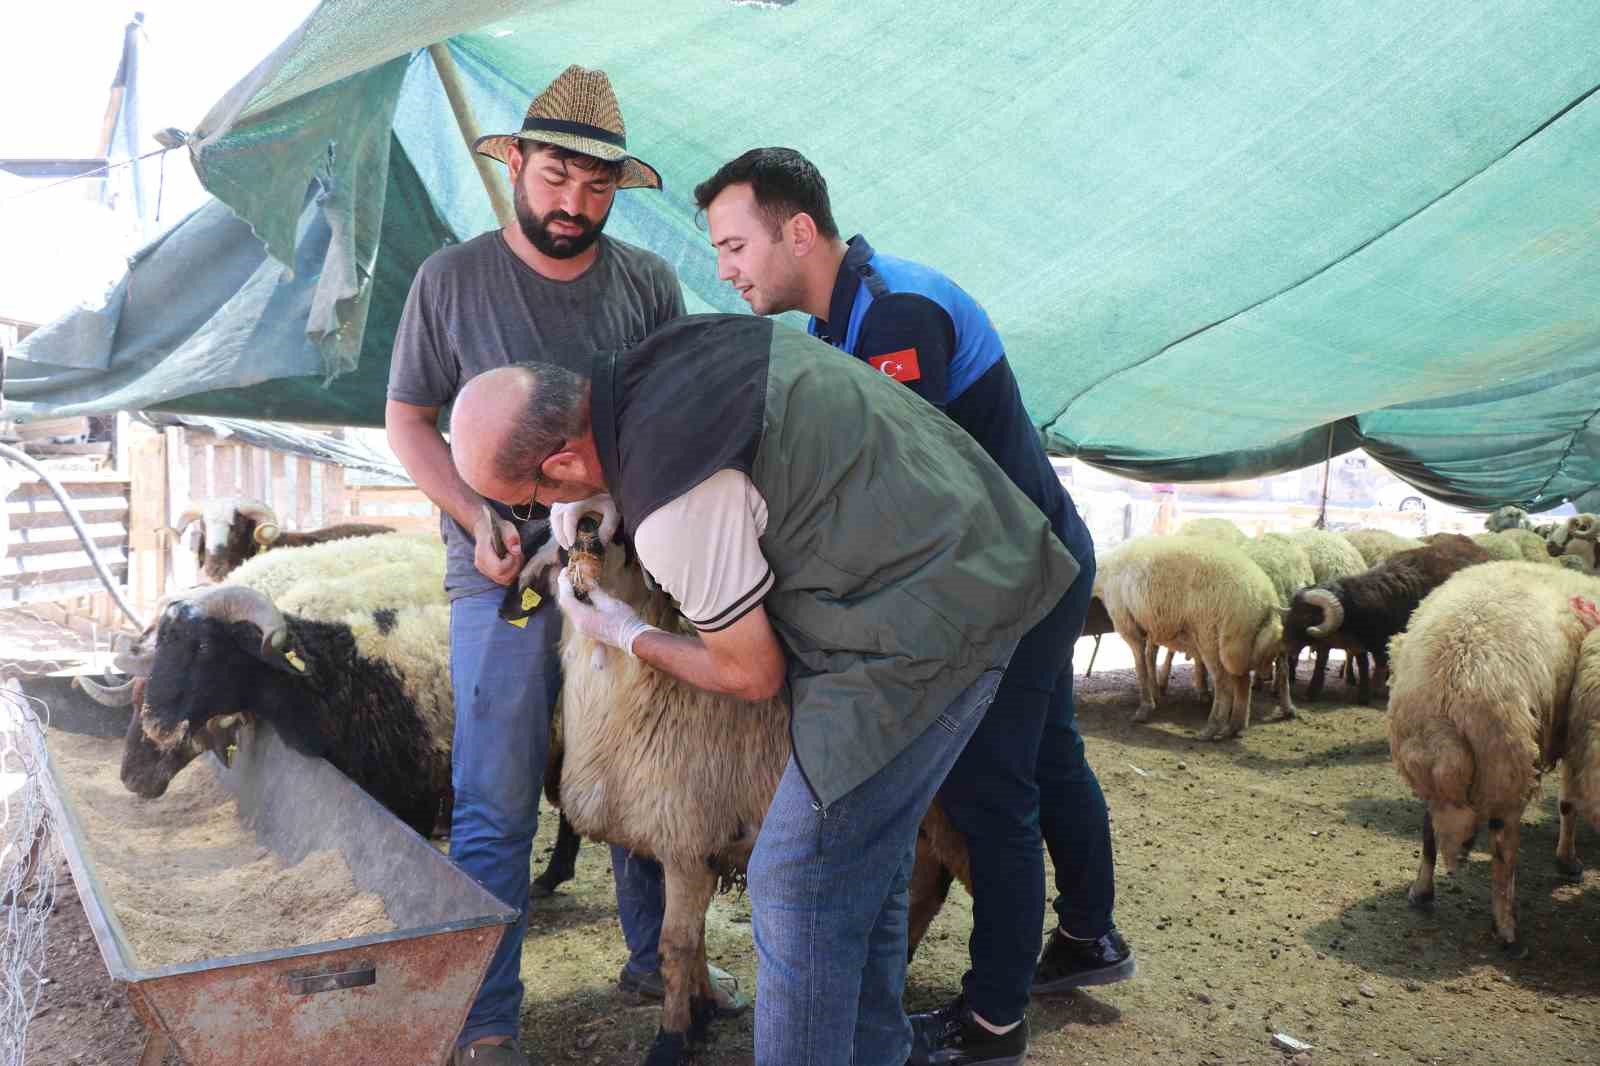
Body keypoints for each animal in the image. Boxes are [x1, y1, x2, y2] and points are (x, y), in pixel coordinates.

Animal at [1388, 560, 1600, 947]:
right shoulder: (1576, 731)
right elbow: (1568, 802)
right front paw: (1568, 862)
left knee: (1428, 828)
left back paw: (1421, 893)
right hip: (1508, 766)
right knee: (1504, 852)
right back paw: (1507, 931)